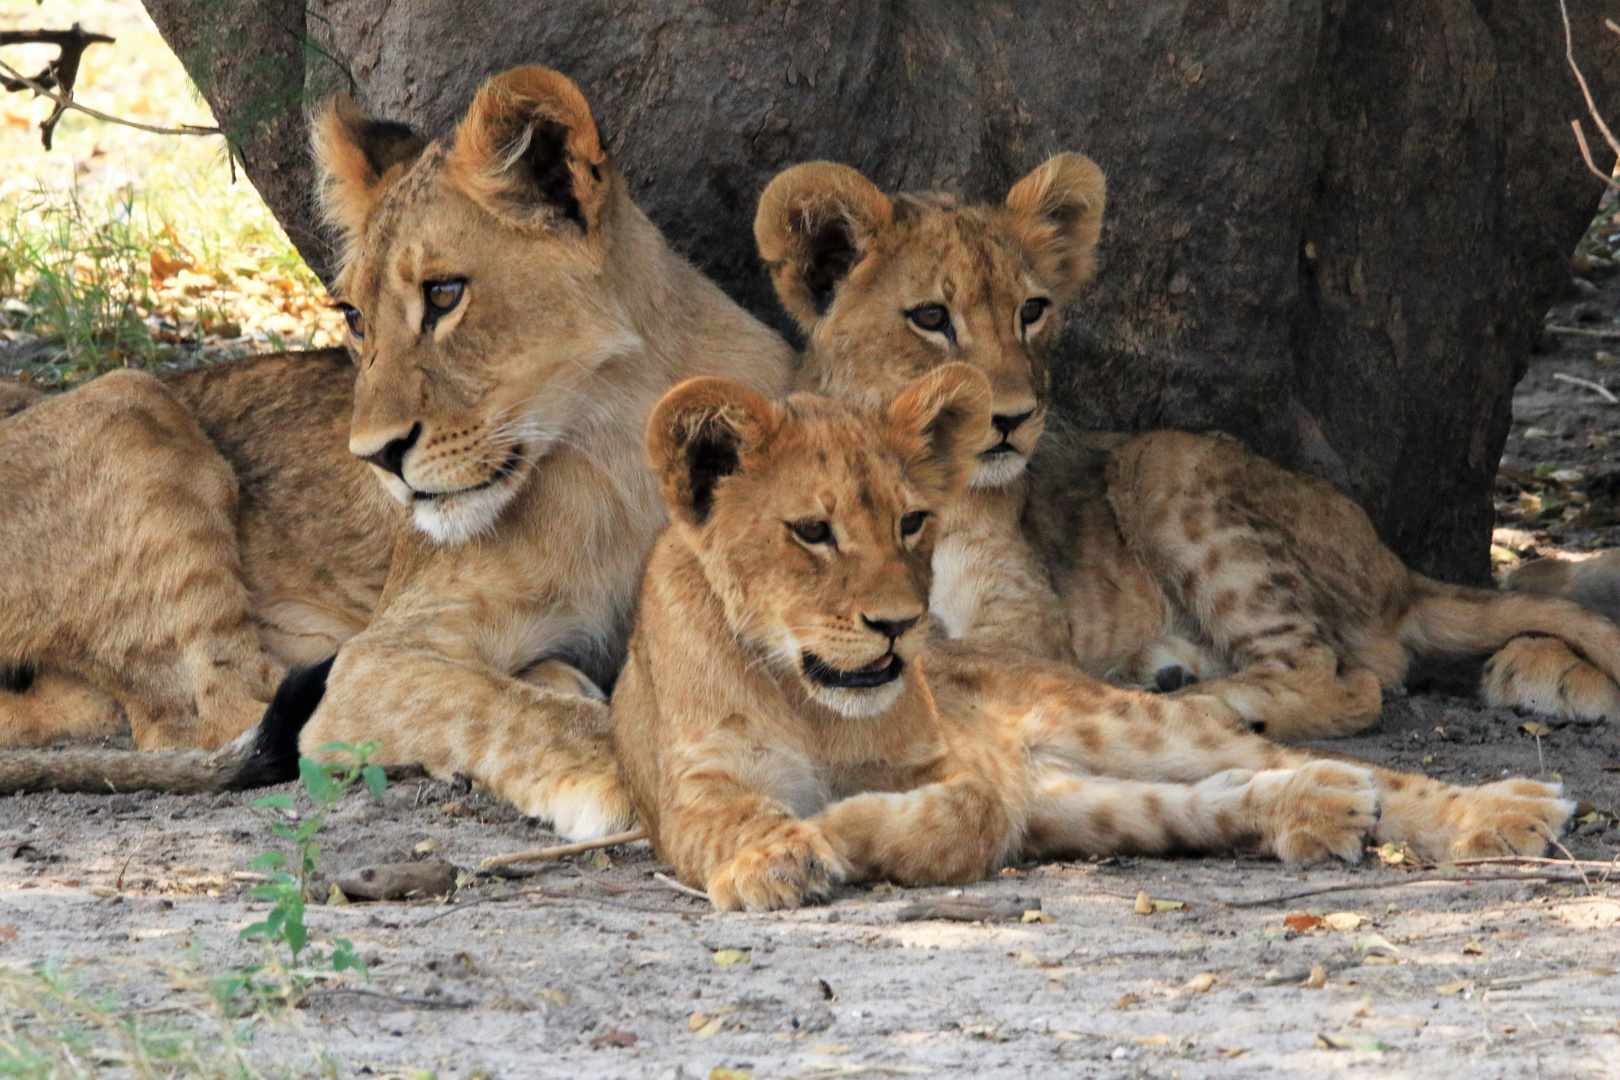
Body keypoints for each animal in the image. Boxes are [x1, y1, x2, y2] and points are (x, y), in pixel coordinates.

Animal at [609, 367, 1568, 906]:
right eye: (812, 532)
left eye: (913, 521)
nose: (901, 626)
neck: (807, 696)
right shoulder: (691, 792)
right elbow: (731, 824)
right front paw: (777, 857)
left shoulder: (969, 769)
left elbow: (957, 816)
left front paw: (840, 826)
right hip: (1082, 800)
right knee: (1205, 798)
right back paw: (1317, 807)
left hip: (1114, 719)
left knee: (1349, 760)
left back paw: (1505, 811)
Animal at [748, 156, 1620, 738]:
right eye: (930, 318)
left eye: (1032, 310)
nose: (1013, 419)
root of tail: (1397, 569)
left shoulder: (1024, 625)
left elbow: (960, 653)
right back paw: (1162, 672)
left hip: (1167, 462)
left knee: (1341, 677)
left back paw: (1197, 704)